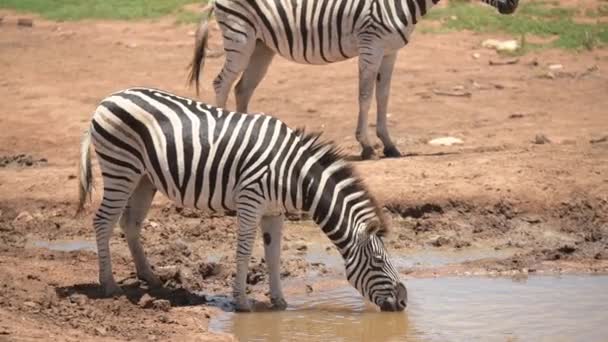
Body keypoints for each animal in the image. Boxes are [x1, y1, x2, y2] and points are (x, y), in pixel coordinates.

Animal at [77, 87, 408, 312]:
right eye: (379, 261)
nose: (404, 301)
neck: (294, 175)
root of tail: (108, 98)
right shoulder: (251, 201)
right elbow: (245, 251)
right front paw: (242, 303)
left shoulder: (274, 212)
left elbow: (274, 255)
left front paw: (280, 302)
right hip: (120, 168)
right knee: (103, 221)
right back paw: (109, 286)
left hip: (144, 178)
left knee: (130, 224)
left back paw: (151, 278)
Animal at [186, 0, 516, 160]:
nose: (513, 6)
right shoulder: (372, 44)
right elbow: (365, 95)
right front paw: (367, 146)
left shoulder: (390, 51)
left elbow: (383, 97)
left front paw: (389, 145)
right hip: (240, 36)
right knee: (221, 83)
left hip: (261, 45)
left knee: (243, 88)